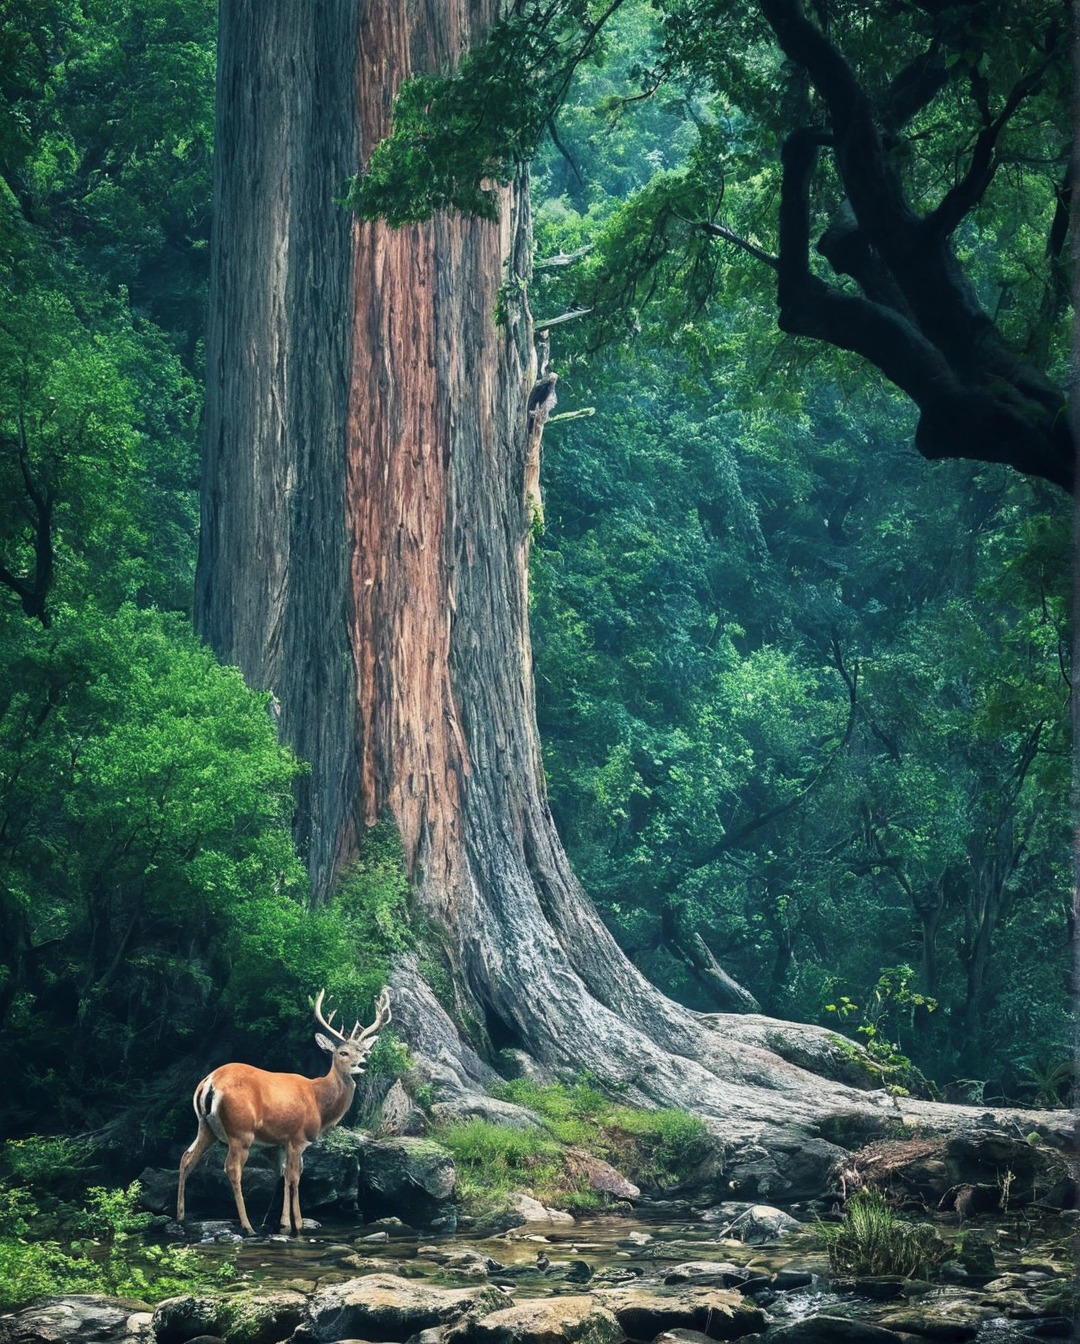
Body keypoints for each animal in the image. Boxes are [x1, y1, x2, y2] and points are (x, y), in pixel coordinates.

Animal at [177, 989, 392, 1236]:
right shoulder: (298, 1138)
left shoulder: (277, 1143)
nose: (364, 1064)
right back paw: (247, 1225)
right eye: (343, 1052)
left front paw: (279, 1222)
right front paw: (296, 1225)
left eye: (365, 1050)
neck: (319, 1102)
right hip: (240, 1130)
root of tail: (210, 1081)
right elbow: (294, 1177)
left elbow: (281, 1177)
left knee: (186, 1158)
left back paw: (181, 1217)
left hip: (206, 1126)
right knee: (232, 1168)